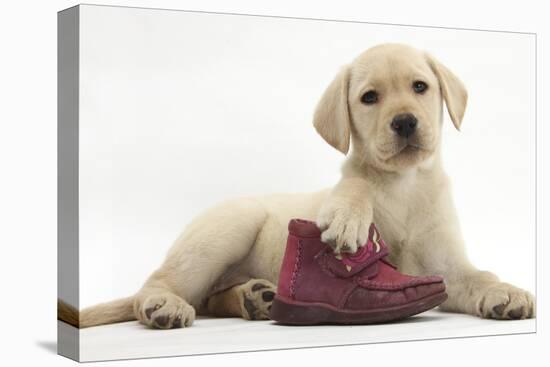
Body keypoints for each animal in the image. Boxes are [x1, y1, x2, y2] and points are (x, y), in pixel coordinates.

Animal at [59, 43, 536, 330]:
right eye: (370, 97)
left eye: (420, 87)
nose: (404, 122)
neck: (404, 184)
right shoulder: (353, 186)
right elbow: (355, 184)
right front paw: (349, 219)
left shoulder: (446, 268)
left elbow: (477, 275)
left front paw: (504, 291)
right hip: (228, 227)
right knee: (160, 283)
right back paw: (166, 305)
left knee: (211, 299)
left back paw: (255, 298)